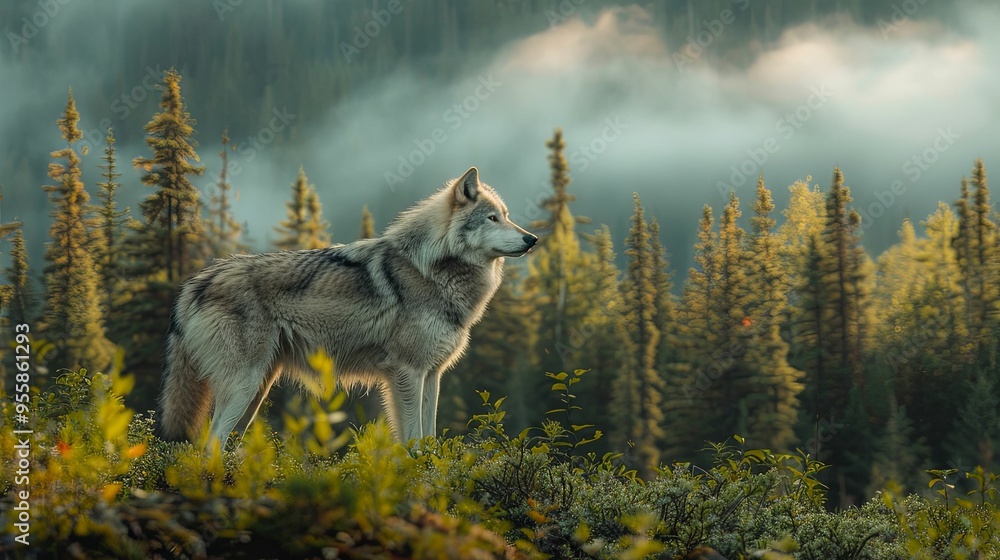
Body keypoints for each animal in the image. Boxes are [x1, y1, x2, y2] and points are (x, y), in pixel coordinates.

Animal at [159, 167, 537, 449]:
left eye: (506, 217)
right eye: (492, 218)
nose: (532, 239)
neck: (434, 268)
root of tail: (199, 280)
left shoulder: (432, 374)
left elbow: (429, 437)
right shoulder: (407, 372)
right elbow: (413, 440)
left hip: (256, 392)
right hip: (244, 386)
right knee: (210, 443)